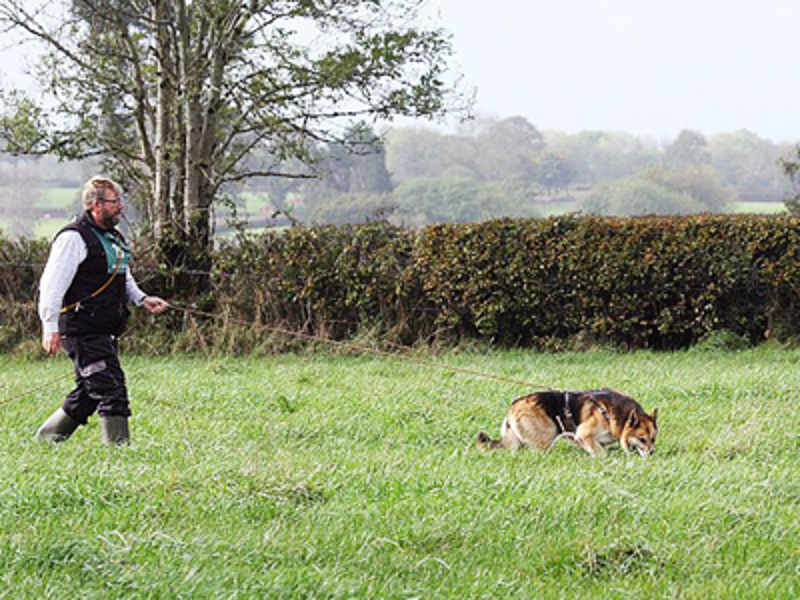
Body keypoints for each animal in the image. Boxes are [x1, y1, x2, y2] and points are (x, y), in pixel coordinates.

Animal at [476, 390, 656, 454]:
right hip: (545, 438)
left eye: (653, 439)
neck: (612, 415)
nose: (652, 453)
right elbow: (601, 454)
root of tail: (514, 406)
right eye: (642, 439)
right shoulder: (584, 434)